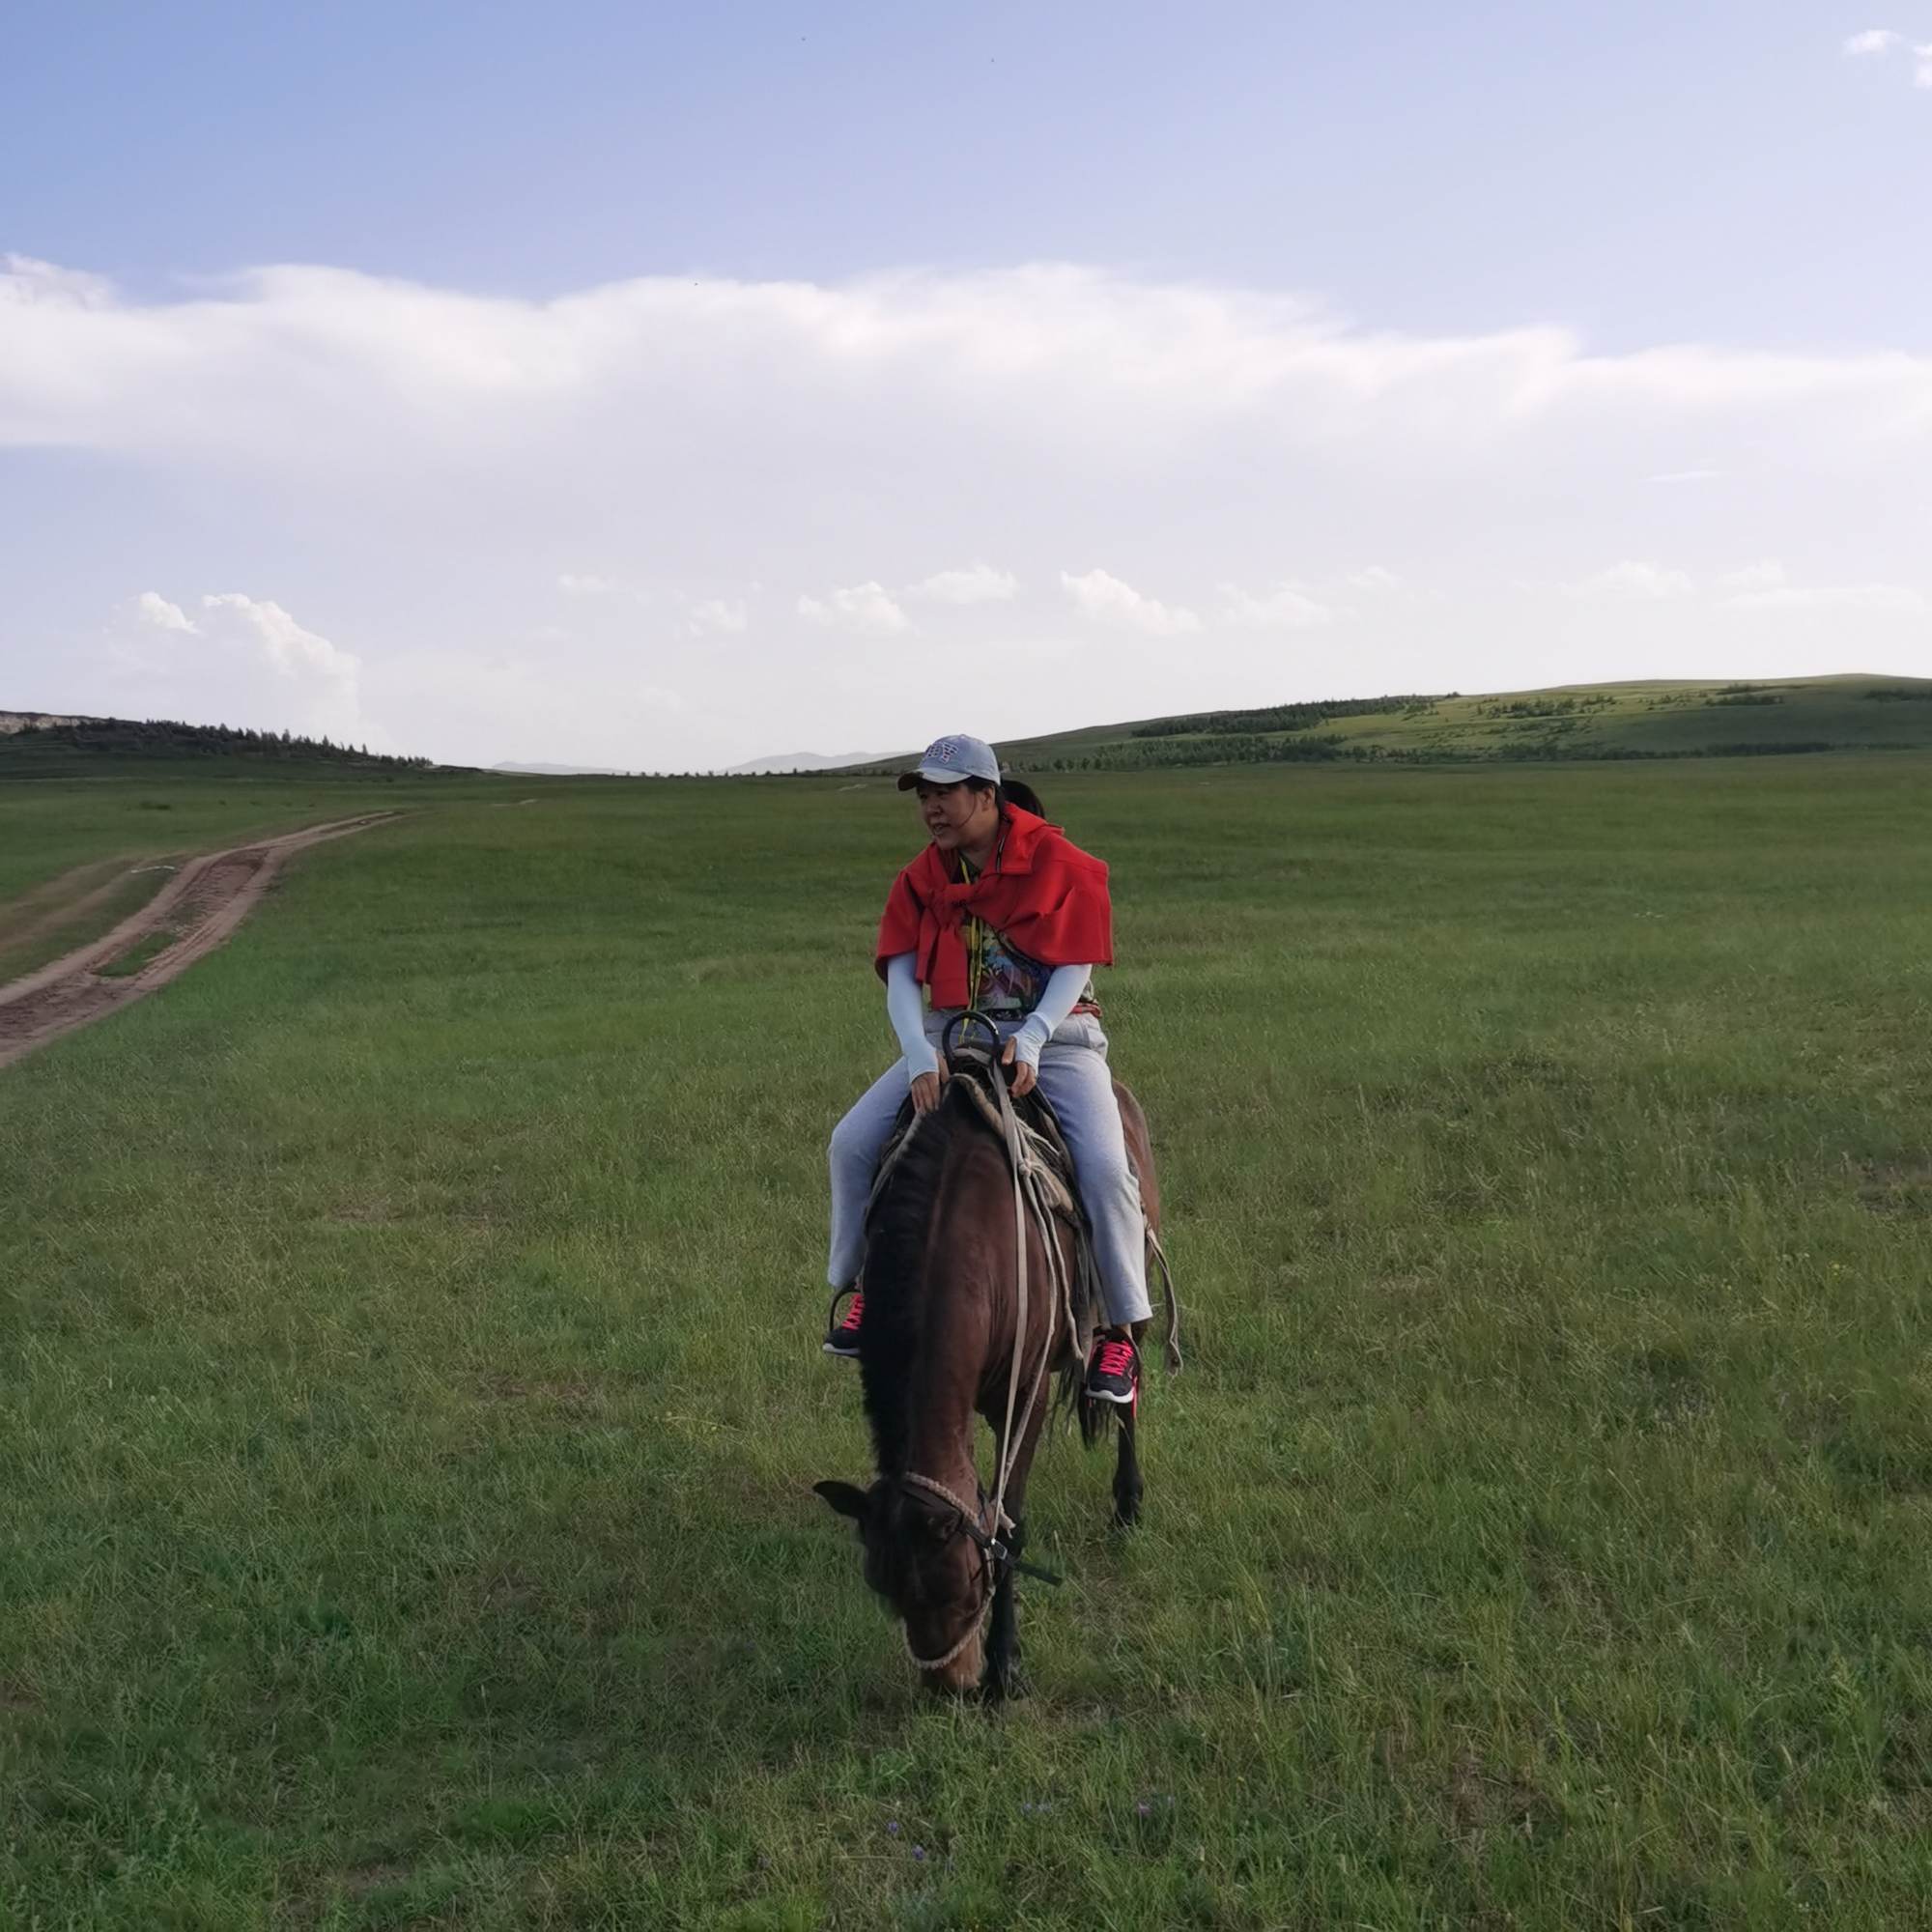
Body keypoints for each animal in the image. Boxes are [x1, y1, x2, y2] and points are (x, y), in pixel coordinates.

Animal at [815, 1051, 1159, 1700]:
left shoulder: (1024, 1394)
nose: (949, 1688)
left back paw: (1128, 1502)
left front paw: (1006, 1667)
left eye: (960, 1584)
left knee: (1129, 1399)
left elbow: (1009, 1525)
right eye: (884, 1589)